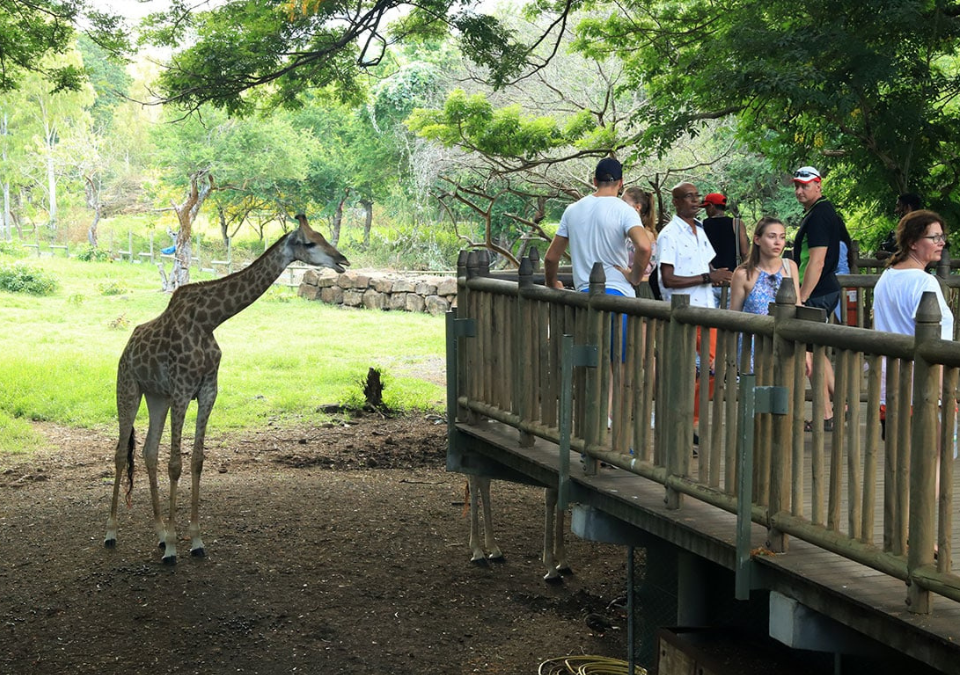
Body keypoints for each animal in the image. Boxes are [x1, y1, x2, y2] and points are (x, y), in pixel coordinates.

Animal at [104, 214, 348, 564]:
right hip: (128, 388)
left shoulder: (207, 391)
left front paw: (194, 541)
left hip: (157, 396)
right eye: (310, 242)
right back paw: (112, 533)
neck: (209, 320)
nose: (342, 260)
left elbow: (197, 460)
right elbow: (175, 464)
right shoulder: (183, 390)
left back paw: (159, 534)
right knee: (120, 453)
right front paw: (175, 548)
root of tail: (127, 347)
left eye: (323, 237)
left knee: (148, 451)